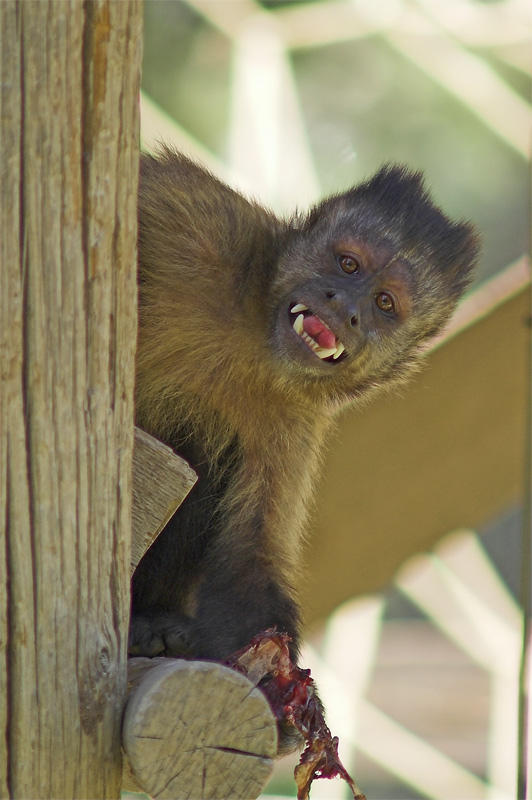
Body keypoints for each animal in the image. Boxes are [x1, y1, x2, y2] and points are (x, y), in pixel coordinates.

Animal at [128, 148, 478, 676]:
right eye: (348, 264)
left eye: (384, 303)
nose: (345, 304)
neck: (254, 338)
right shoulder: (203, 220)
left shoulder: (296, 420)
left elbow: (251, 559)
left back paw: (154, 620)